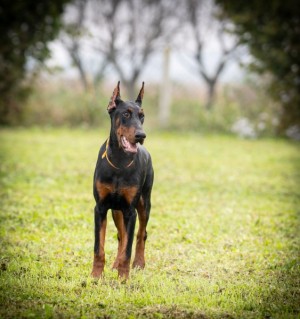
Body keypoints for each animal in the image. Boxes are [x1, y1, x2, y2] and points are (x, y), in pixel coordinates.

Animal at [90, 82, 154, 280]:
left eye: (142, 116)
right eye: (125, 114)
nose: (141, 135)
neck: (119, 161)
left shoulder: (130, 211)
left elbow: (129, 246)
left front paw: (124, 278)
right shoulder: (101, 208)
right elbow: (99, 247)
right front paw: (95, 276)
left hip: (143, 204)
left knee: (140, 234)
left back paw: (138, 263)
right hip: (116, 211)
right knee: (121, 235)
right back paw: (115, 264)